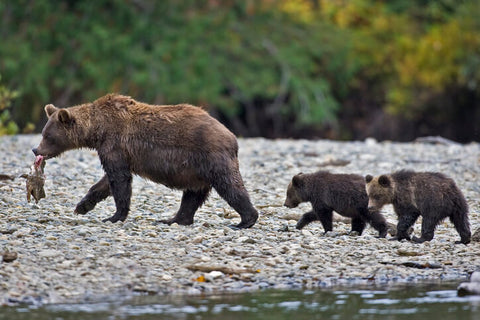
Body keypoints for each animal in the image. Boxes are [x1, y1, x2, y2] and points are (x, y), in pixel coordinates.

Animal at [31, 94, 258, 229]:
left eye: (48, 136)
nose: (36, 149)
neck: (97, 130)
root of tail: (231, 136)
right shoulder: (117, 152)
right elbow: (106, 182)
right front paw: (82, 206)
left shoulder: (115, 144)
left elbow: (120, 180)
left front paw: (114, 216)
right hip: (196, 169)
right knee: (193, 194)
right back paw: (174, 219)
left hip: (210, 157)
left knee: (229, 186)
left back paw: (245, 220)